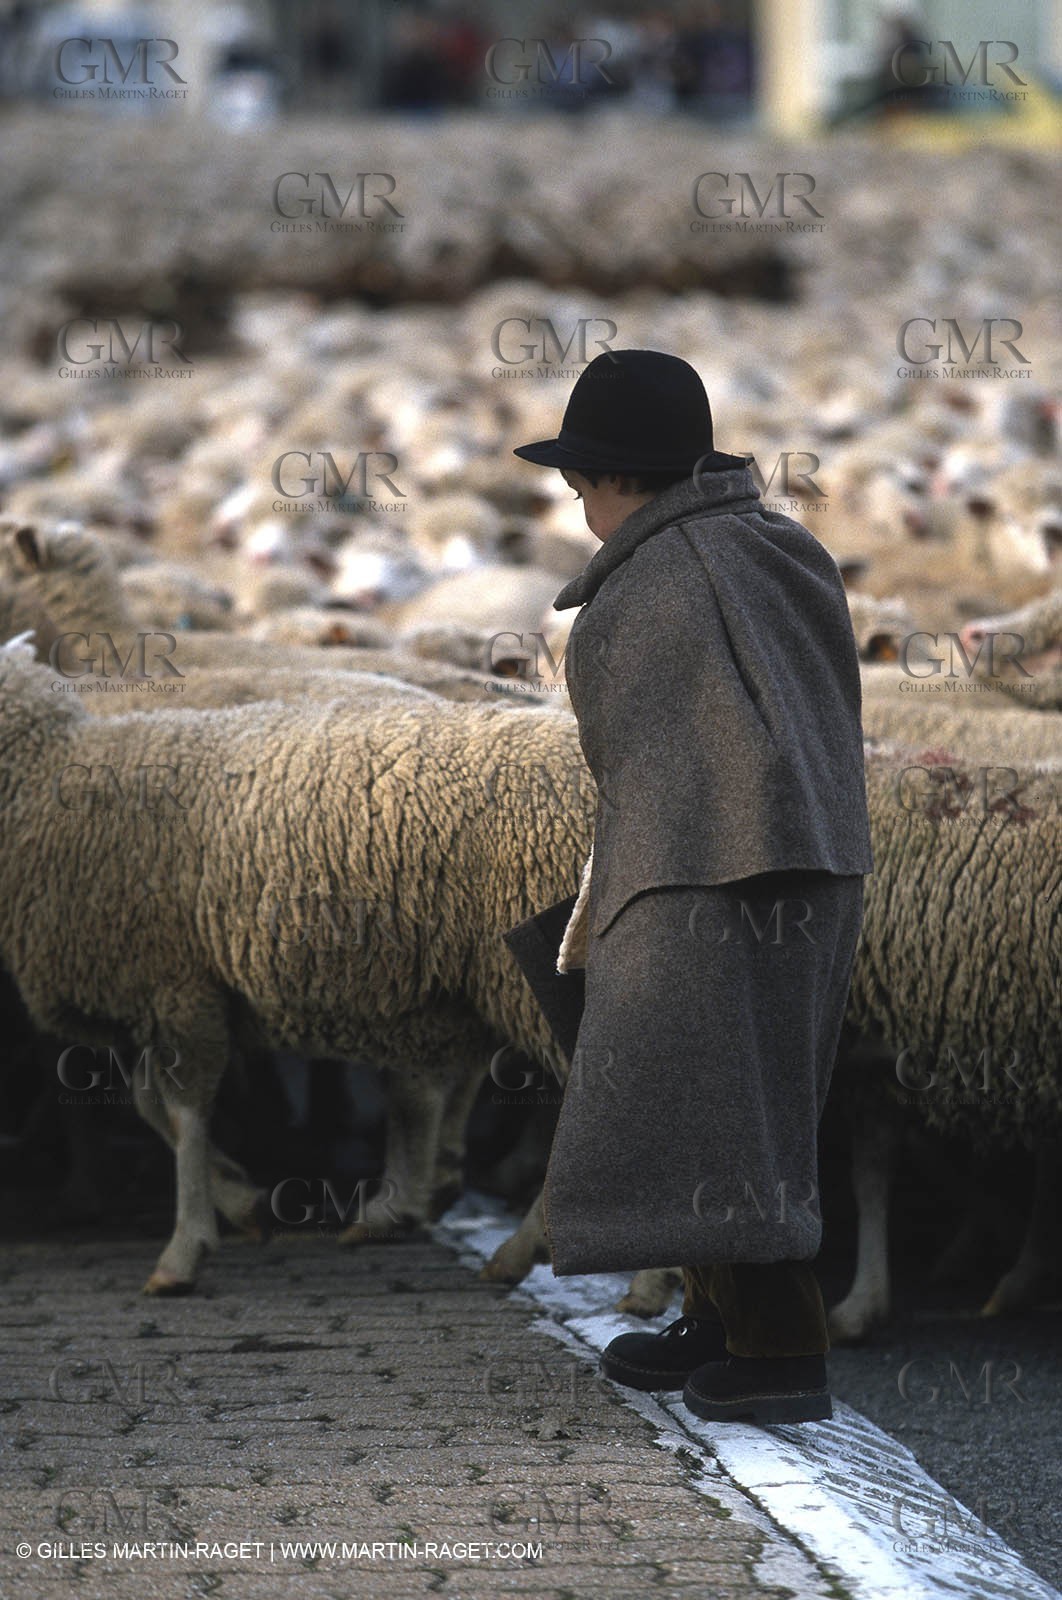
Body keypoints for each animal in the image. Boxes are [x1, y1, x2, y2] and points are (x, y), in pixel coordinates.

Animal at [0, 637, 589, 1291]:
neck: (46, 775)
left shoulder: (178, 983)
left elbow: (184, 1111)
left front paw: (184, 1250)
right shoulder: (167, 992)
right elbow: (154, 1105)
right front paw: (241, 1200)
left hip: (531, 973)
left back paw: (521, 1246)